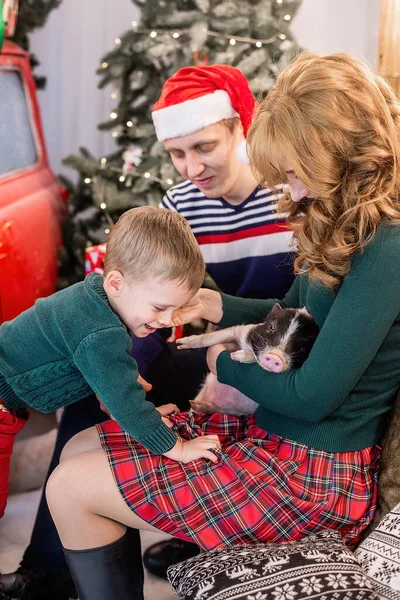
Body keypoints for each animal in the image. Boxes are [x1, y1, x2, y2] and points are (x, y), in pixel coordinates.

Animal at [177, 308, 318, 414]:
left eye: (303, 345)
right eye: (272, 327)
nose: (275, 355)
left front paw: (236, 355)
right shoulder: (240, 331)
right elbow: (214, 336)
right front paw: (180, 344)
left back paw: (197, 407)